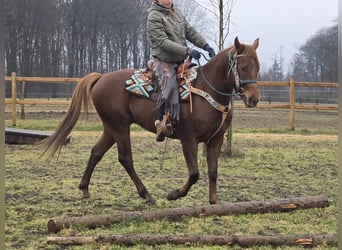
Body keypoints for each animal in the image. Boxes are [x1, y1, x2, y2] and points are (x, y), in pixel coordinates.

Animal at [41, 37, 260, 205]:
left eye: (257, 68)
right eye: (242, 67)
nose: (253, 99)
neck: (206, 90)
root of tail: (101, 78)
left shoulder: (216, 139)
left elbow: (213, 171)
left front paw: (214, 201)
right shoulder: (189, 140)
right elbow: (194, 173)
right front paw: (173, 195)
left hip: (110, 128)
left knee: (96, 152)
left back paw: (85, 189)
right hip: (120, 126)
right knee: (125, 159)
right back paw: (147, 195)